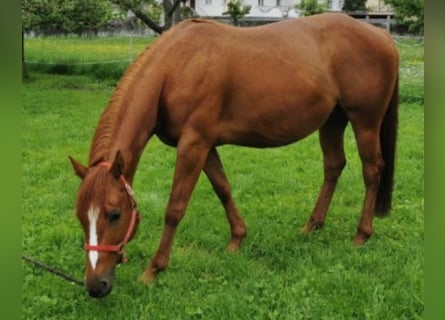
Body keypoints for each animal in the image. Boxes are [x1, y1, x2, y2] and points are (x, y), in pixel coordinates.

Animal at [68, 12, 398, 298]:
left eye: (115, 214)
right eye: (81, 217)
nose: (95, 286)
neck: (176, 67)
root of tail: (381, 35)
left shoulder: (194, 144)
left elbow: (175, 208)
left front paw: (153, 270)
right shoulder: (206, 146)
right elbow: (223, 188)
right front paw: (237, 239)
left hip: (365, 122)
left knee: (372, 171)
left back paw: (361, 235)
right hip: (332, 121)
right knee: (333, 166)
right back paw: (312, 226)